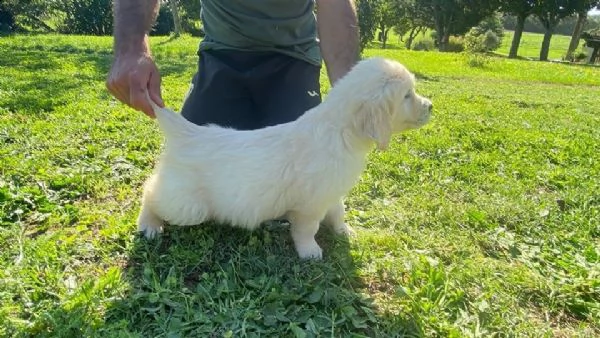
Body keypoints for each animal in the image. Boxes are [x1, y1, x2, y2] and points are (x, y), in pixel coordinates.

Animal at [139, 57, 434, 258]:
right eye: (407, 95)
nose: (431, 106)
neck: (341, 131)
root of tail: (187, 134)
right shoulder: (309, 204)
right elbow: (306, 228)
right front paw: (310, 251)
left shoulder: (332, 190)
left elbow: (338, 210)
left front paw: (344, 231)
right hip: (189, 206)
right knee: (150, 192)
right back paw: (150, 226)